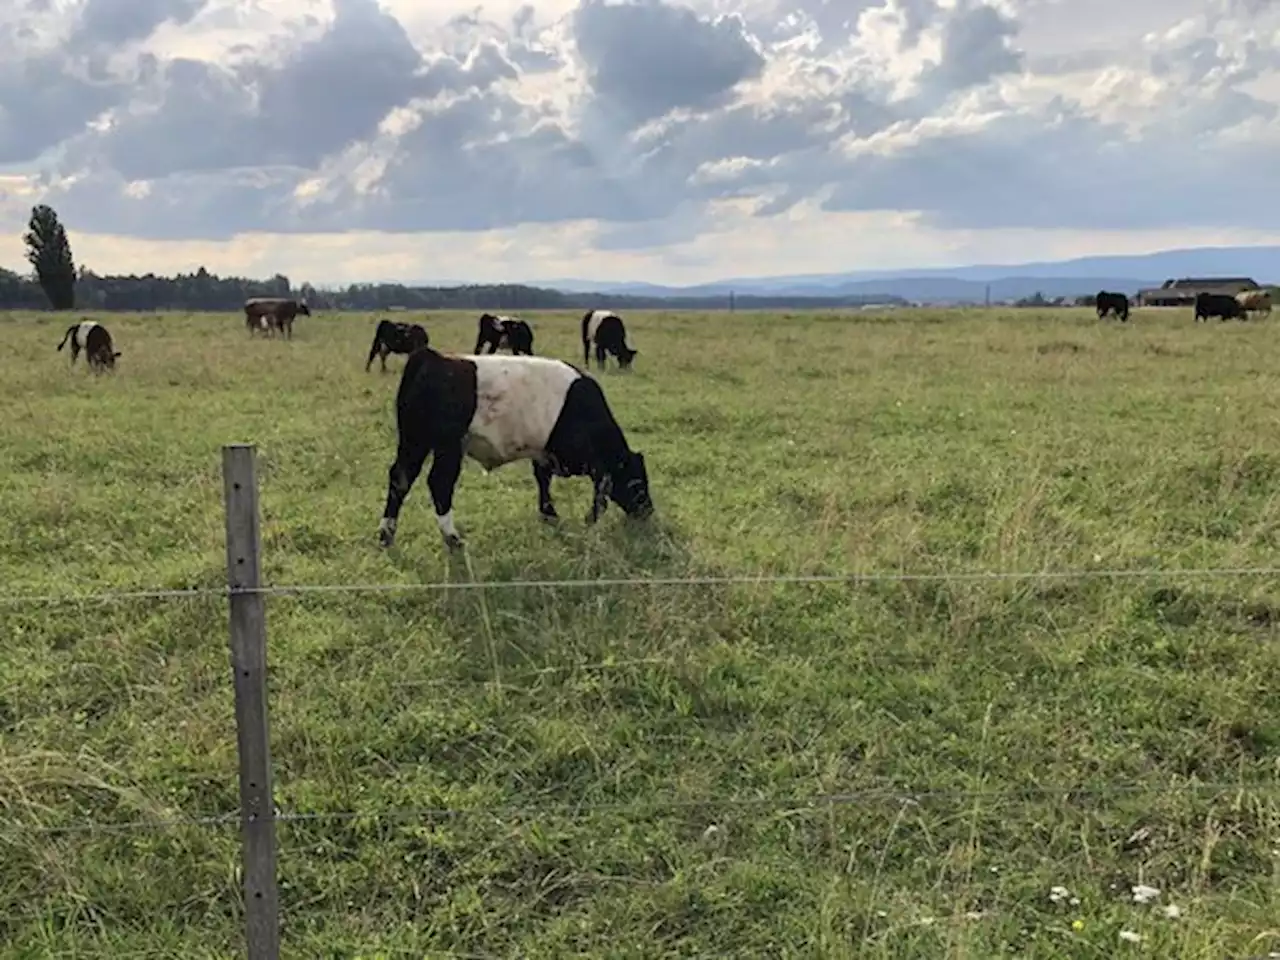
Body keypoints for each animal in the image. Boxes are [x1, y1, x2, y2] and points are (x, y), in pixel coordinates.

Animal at [371, 350, 650, 552]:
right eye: (638, 482)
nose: (648, 511)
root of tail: (433, 357)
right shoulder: (589, 461)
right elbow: (600, 492)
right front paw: (588, 519)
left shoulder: (542, 453)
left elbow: (543, 480)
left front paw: (548, 513)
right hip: (447, 446)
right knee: (439, 483)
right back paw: (452, 537)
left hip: (413, 442)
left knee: (400, 478)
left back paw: (386, 534)